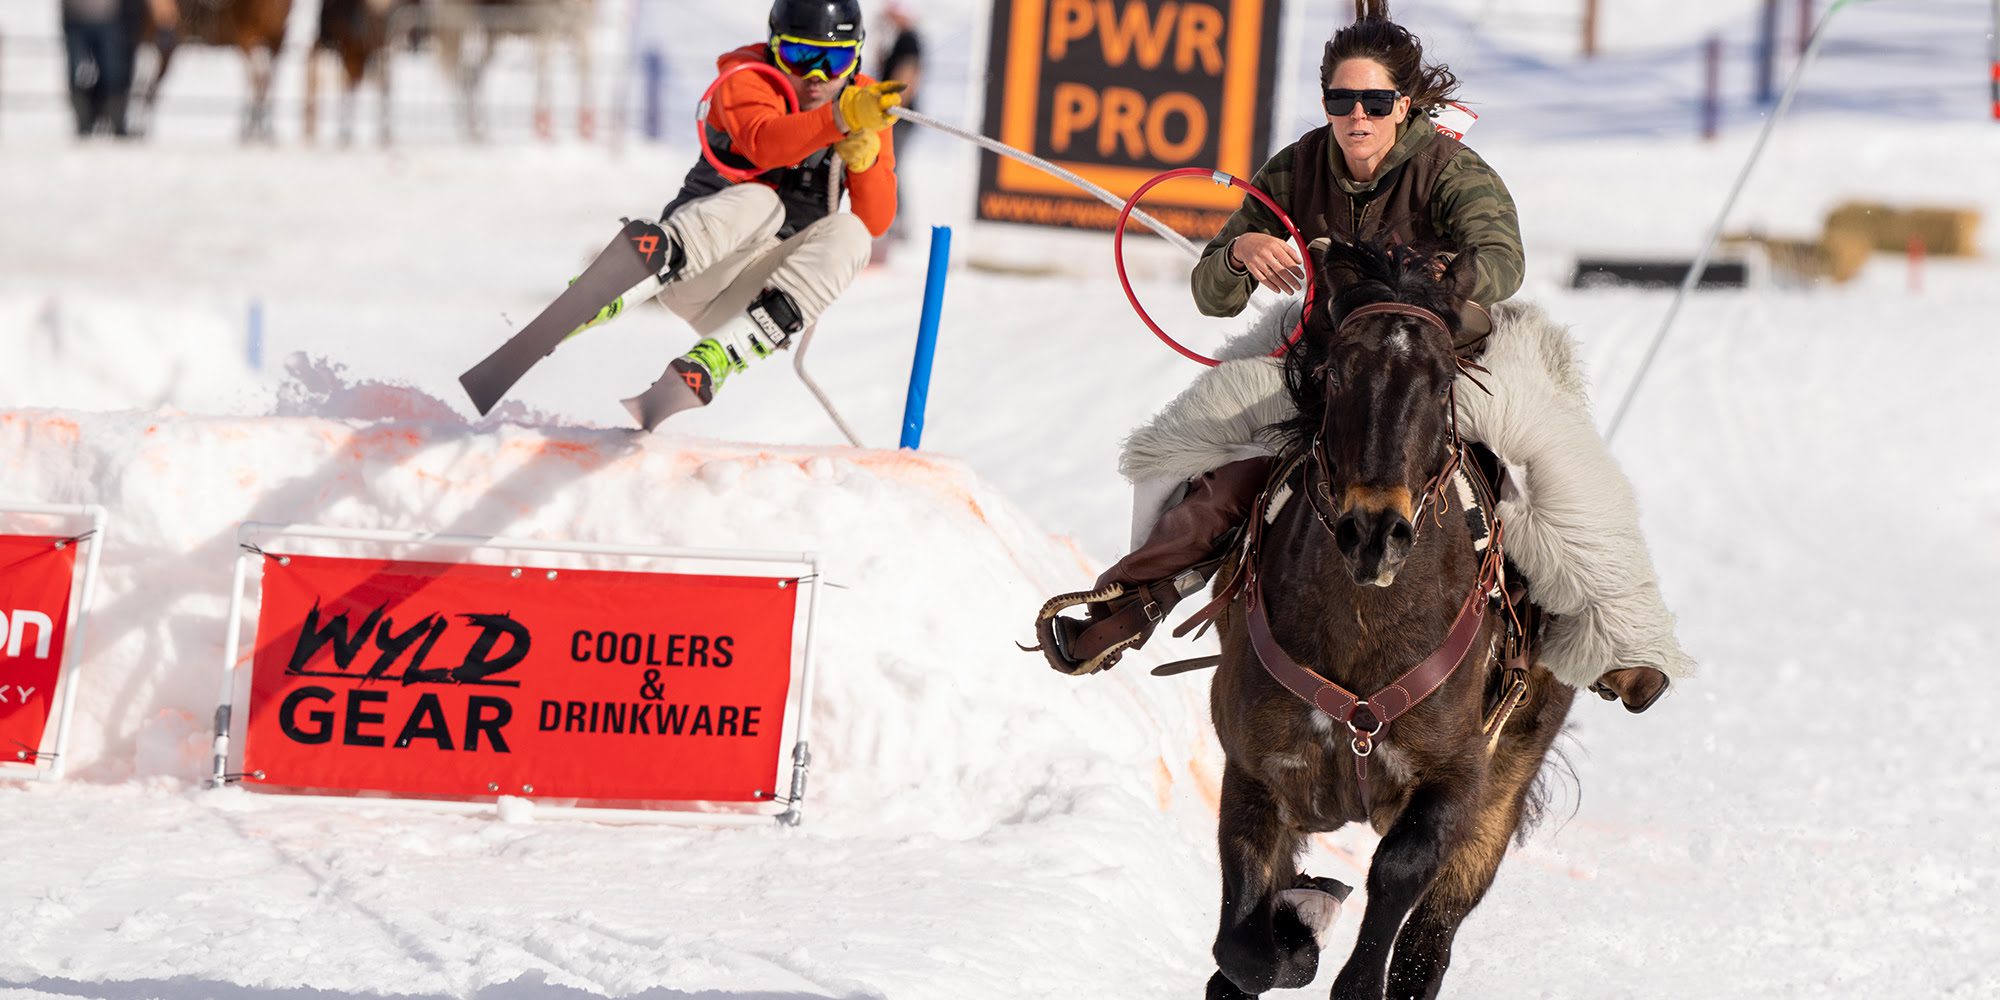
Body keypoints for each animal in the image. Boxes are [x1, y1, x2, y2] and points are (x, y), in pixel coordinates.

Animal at [129, 0, 292, 141]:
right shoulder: (245, 38)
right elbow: (258, 80)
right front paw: (251, 129)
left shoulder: (278, 43)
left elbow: (267, 82)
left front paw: (263, 129)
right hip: (158, 44)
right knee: (145, 87)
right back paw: (138, 129)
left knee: (147, 86)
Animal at [1200, 244, 1576, 1000]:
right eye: (1338, 371)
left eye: (1441, 382)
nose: (1375, 531)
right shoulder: (1254, 771)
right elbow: (1242, 945)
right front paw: (1298, 924)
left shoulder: (1459, 778)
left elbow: (1399, 874)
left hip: (1507, 782)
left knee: (1430, 940)